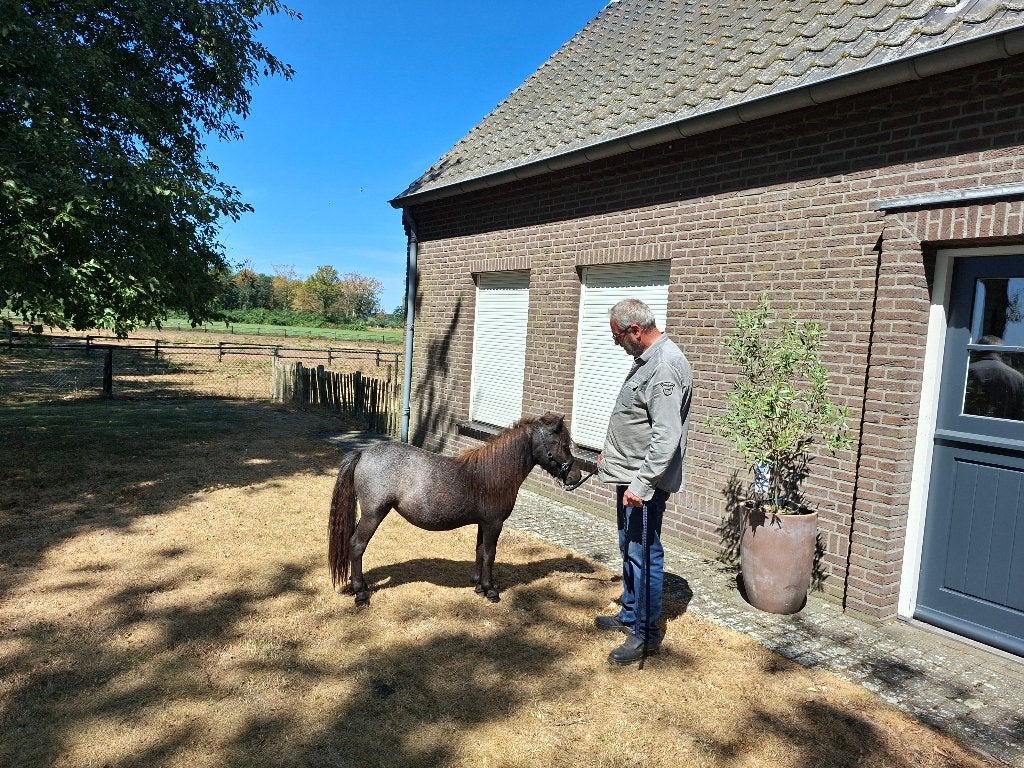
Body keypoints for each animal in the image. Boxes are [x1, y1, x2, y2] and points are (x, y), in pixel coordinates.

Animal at [328, 412, 585, 606]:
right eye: (562, 444)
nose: (575, 476)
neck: (492, 473)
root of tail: (363, 453)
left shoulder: (483, 523)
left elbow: (480, 551)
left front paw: (479, 587)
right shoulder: (494, 523)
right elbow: (490, 555)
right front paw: (491, 591)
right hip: (374, 514)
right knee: (357, 545)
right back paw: (361, 594)